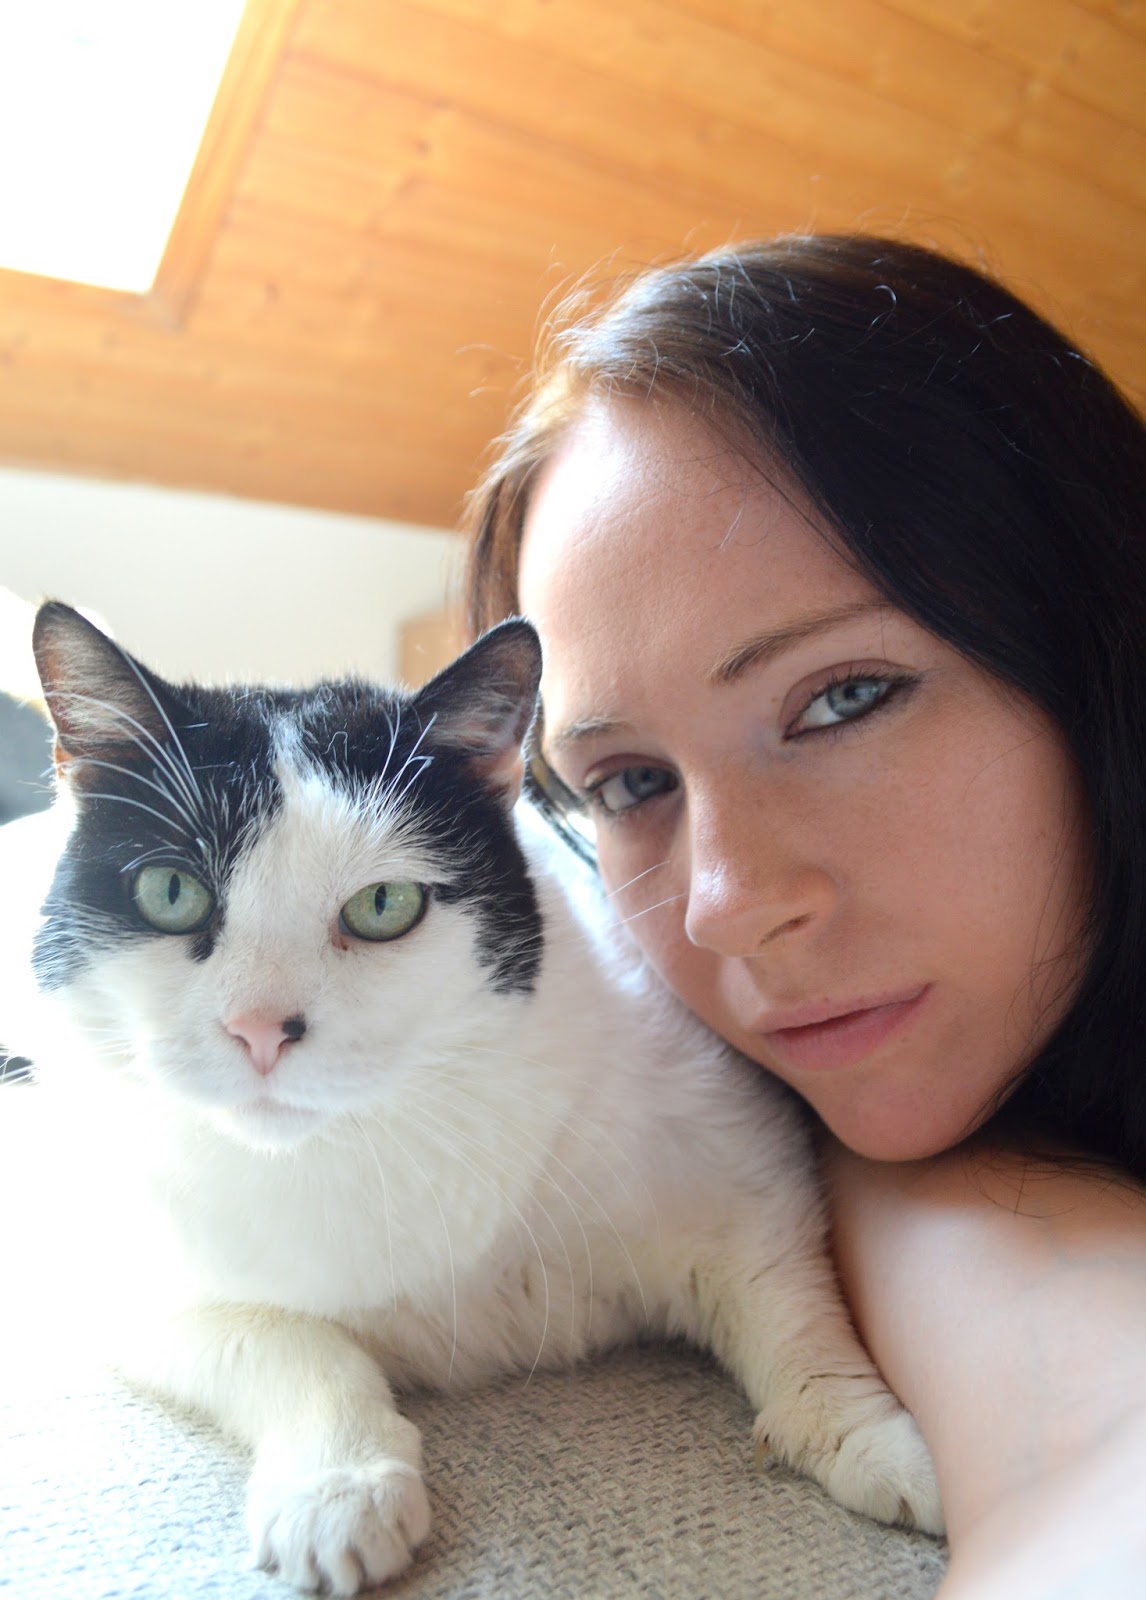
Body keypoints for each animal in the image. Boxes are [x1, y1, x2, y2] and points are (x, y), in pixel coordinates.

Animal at [15, 600, 942, 1594]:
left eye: (384, 906)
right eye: (171, 892)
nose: (259, 1028)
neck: (373, 1145)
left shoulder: (744, 1159)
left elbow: (792, 1307)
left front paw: (876, 1441)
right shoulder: (125, 1278)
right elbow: (291, 1343)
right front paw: (338, 1488)